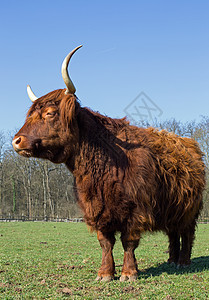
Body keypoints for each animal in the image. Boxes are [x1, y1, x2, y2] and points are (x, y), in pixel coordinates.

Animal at [12, 46, 205, 282]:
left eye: (50, 113)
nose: (16, 141)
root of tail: (190, 145)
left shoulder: (136, 210)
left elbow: (129, 241)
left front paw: (129, 273)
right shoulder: (96, 208)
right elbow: (105, 242)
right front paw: (104, 273)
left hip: (189, 210)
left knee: (186, 233)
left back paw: (183, 261)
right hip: (172, 208)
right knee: (172, 232)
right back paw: (171, 260)